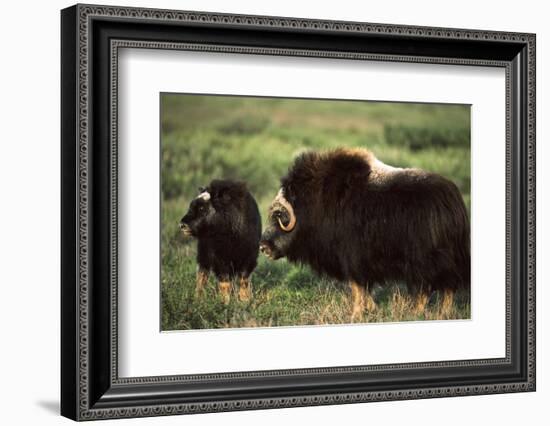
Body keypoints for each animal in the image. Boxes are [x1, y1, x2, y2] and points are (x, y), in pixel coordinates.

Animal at [260, 148, 472, 322]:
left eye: (279, 215)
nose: (263, 247)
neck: (315, 204)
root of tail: (453, 202)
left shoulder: (352, 258)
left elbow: (357, 288)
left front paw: (356, 315)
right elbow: (363, 289)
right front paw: (372, 309)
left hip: (426, 261)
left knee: (434, 288)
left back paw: (422, 313)